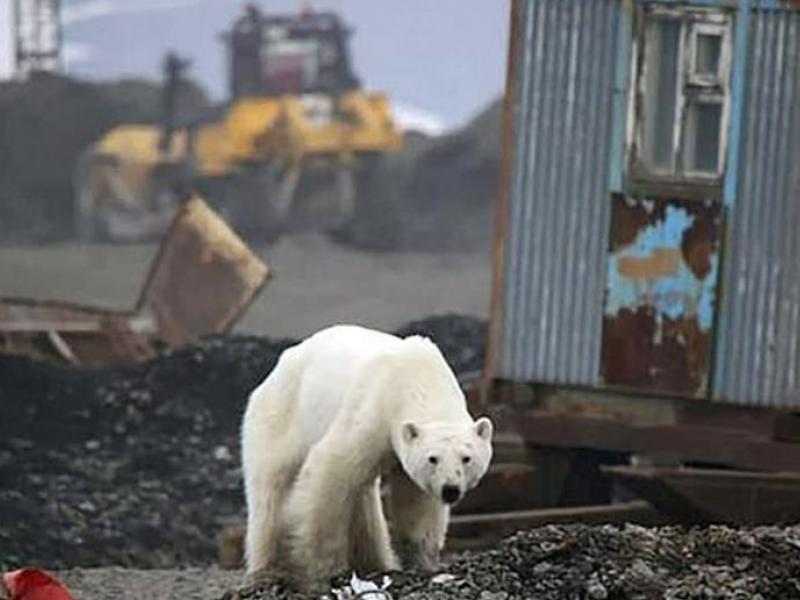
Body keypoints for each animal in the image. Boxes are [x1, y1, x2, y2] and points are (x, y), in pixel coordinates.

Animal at [239, 324, 494, 584]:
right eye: (433, 458)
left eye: (466, 458)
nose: (450, 490)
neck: (418, 378)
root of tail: (278, 366)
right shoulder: (373, 411)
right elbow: (330, 470)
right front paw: (326, 568)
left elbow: (416, 500)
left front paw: (421, 561)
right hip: (281, 415)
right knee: (271, 488)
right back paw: (268, 568)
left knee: (363, 497)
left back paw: (375, 562)